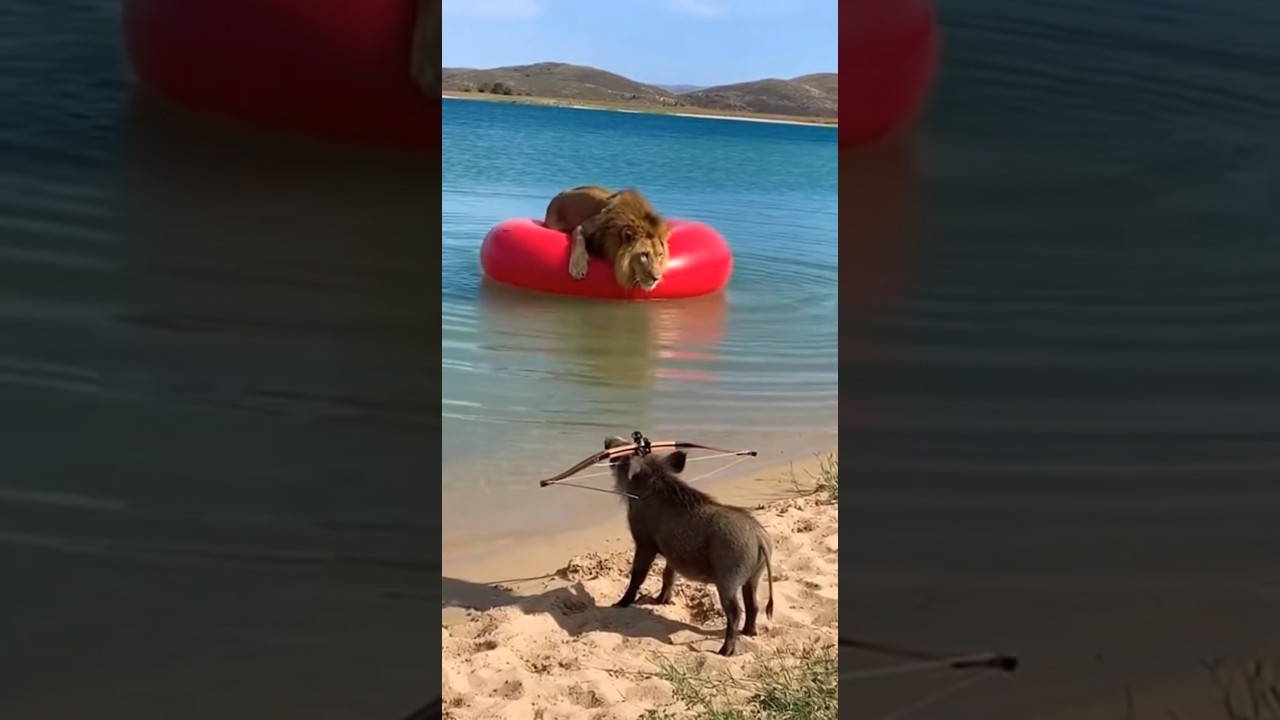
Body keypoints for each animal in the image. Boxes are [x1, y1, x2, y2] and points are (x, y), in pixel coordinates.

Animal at [543, 185, 671, 292]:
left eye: (660, 255)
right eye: (644, 255)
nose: (657, 278)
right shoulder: (583, 226)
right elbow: (578, 239)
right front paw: (578, 267)